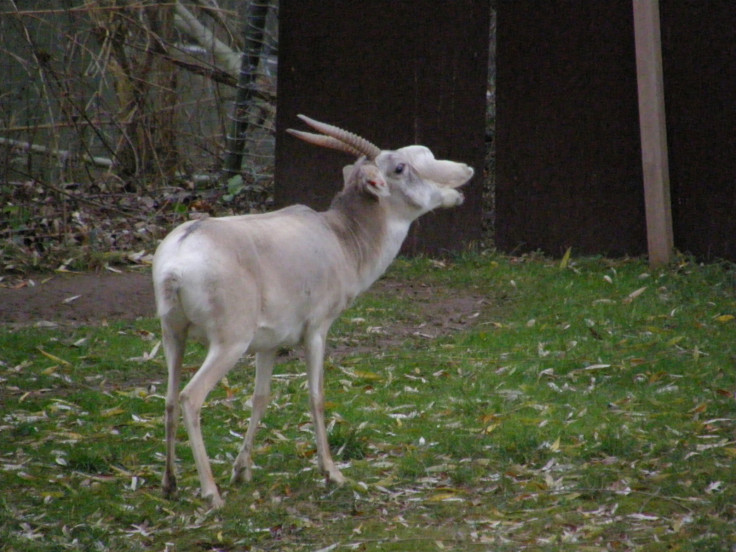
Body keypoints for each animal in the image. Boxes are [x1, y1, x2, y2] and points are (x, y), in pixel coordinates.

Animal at [153, 116, 474, 508]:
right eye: (400, 167)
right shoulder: (317, 329)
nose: (459, 185)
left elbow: (260, 398)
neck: (342, 239)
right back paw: (211, 493)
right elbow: (317, 395)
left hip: (174, 335)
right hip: (228, 343)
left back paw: (170, 484)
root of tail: (176, 264)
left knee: (170, 398)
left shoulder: (268, 344)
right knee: (190, 397)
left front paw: (242, 471)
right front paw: (332, 472)